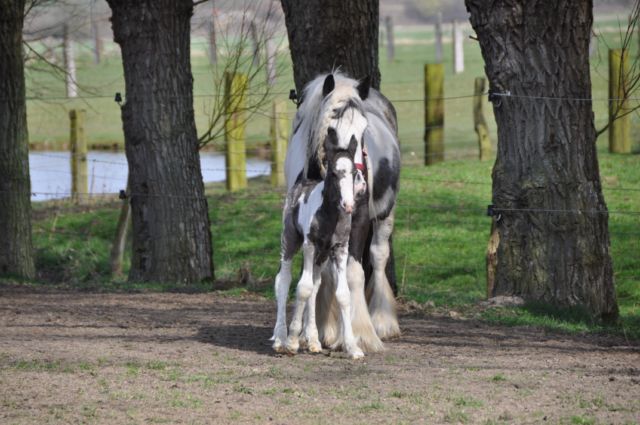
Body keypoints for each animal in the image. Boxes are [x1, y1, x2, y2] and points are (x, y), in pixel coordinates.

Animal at [272, 129, 370, 358]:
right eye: (334, 173)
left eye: (354, 172)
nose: (349, 205)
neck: (330, 216)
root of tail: (302, 181)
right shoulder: (309, 245)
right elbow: (302, 288)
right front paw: (292, 342)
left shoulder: (340, 249)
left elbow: (342, 294)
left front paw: (352, 348)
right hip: (290, 241)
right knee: (284, 280)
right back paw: (280, 338)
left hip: (322, 256)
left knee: (316, 284)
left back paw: (314, 341)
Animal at [284, 72, 400, 352]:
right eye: (331, 128)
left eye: (363, 129)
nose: (358, 184)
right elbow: (322, 277)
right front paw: (321, 330)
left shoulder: (357, 224)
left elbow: (354, 273)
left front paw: (360, 335)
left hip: (385, 215)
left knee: (378, 257)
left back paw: (382, 322)